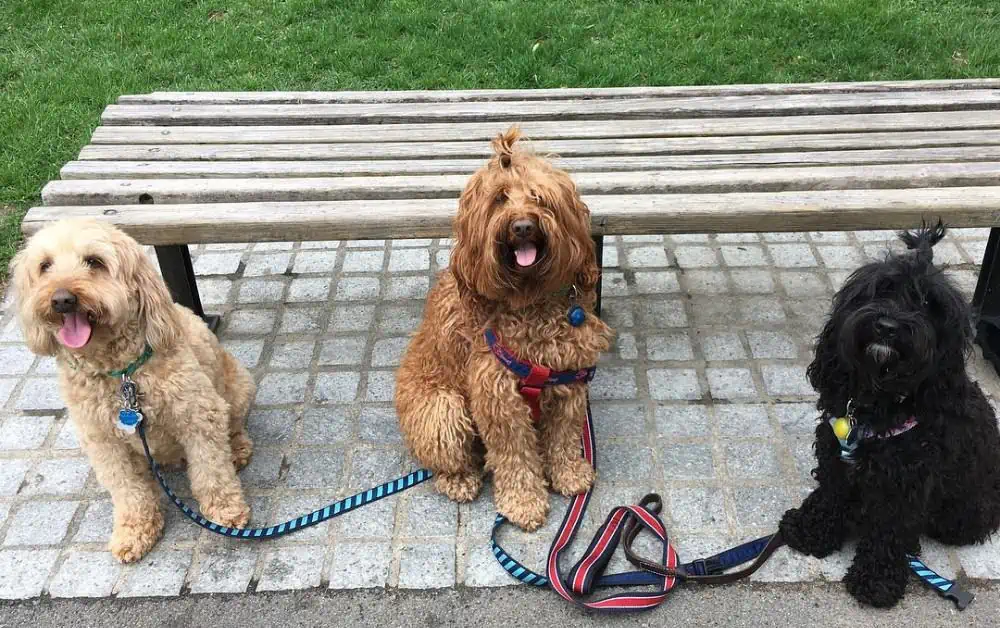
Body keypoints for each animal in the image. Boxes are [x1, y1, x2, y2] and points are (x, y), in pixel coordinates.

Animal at [11, 220, 254, 560]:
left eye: (95, 262)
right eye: (45, 266)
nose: (61, 299)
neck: (122, 375)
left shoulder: (198, 415)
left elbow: (212, 472)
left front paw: (225, 512)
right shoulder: (103, 442)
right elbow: (128, 490)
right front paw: (135, 530)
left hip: (239, 387)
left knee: (233, 427)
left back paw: (237, 450)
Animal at [394, 127, 612, 528]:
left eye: (539, 197)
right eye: (499, 200)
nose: (522, 226)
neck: (530, 302)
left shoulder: (569, 382)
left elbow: (563, 437)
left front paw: (569, 473)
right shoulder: (498, 397)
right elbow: (516, 457)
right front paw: (524, 502)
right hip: (443, 411)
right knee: (449, 459)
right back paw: (460, 479)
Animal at [780, 221, 1000, 608]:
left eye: (927, 303)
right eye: (881, 289)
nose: (887, 326)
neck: (880, 401)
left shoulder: (904, 484)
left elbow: (889, 532)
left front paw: (876, 580)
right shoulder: (837, 455)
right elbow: (829, 494)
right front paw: (809, 529)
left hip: (964, 512)